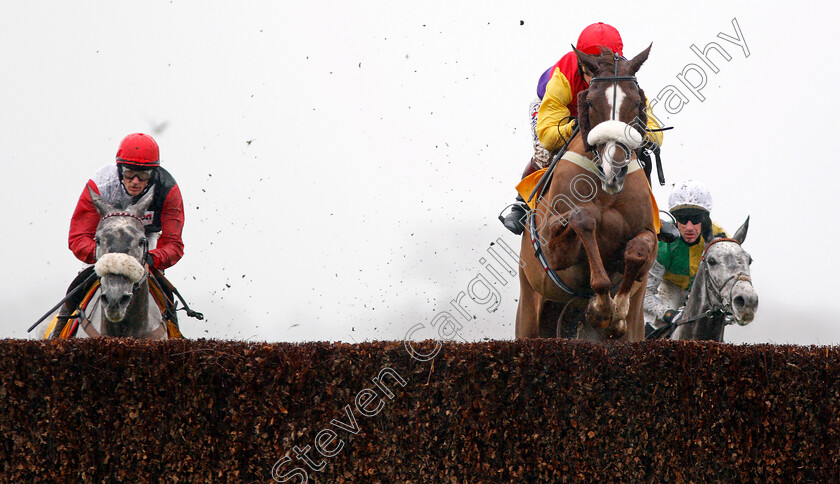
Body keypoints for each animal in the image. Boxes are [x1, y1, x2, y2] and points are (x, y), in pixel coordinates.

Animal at [516, 44, 660, 340]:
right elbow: (583, 219)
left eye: (636, 102)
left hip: (636, 328)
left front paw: (616, 310)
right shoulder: (552, 250)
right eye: (591, 101)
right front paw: (601, 308)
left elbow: (638, 251)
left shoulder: (649, 240)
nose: (615, 168)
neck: (606, 190)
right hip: (529, 312)